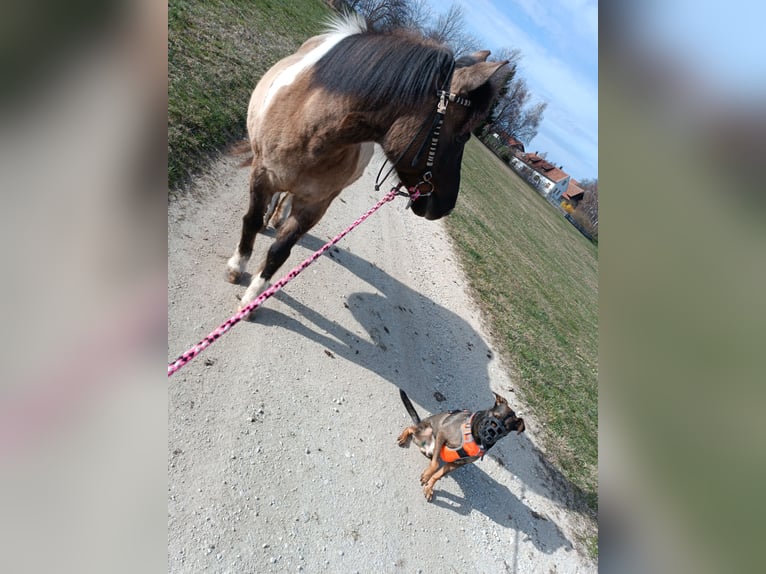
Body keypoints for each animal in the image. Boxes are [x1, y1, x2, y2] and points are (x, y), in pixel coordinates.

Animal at [226, 13, 510, 312]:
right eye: (463, 135)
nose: (446, 206)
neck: (311, 128)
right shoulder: (262, 174)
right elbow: (251, 220)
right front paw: (237, 267)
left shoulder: (317, 203)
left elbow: (281, 249)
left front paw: (253, 297)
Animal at [396, 390, 528, 502]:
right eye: (495, 416)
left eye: (504, 430)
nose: (491, 433)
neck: (475, 437)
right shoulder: (442, 434)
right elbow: (436, 464)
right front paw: (427, 475)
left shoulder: (456, 463)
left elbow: (438, 475)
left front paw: (429, 487)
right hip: (426, 430)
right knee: (410, 428)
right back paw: (403, 437)